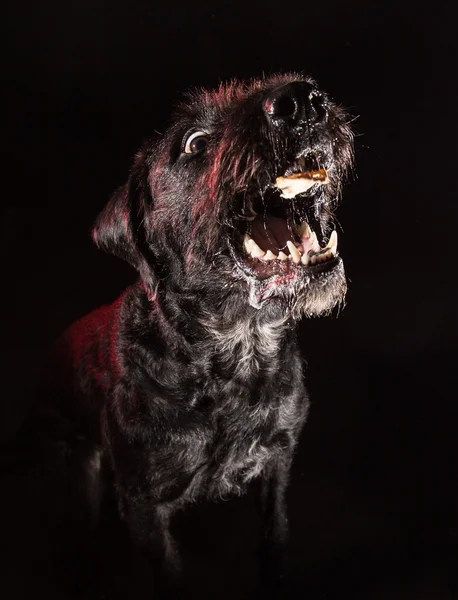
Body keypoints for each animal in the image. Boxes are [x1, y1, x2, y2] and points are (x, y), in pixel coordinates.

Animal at [39, 74, 354, 596]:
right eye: (195, 143)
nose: (302, 101)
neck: (232, 357)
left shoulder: (277, 463)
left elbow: (275, 537)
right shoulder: (143, 507)